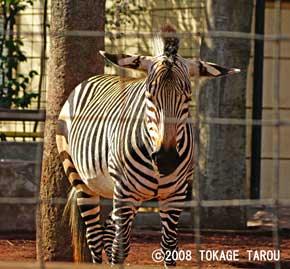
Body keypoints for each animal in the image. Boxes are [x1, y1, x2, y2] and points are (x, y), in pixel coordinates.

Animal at [56, 23, 240, 266]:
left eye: (187, 97)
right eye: (149, 96)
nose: (166, 160)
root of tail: (95, 77)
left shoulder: (175, 195)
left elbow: (169, 247)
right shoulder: (125, 192)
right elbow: (120, 249)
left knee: (107, 233)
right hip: (82, 181)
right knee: (95, 238)